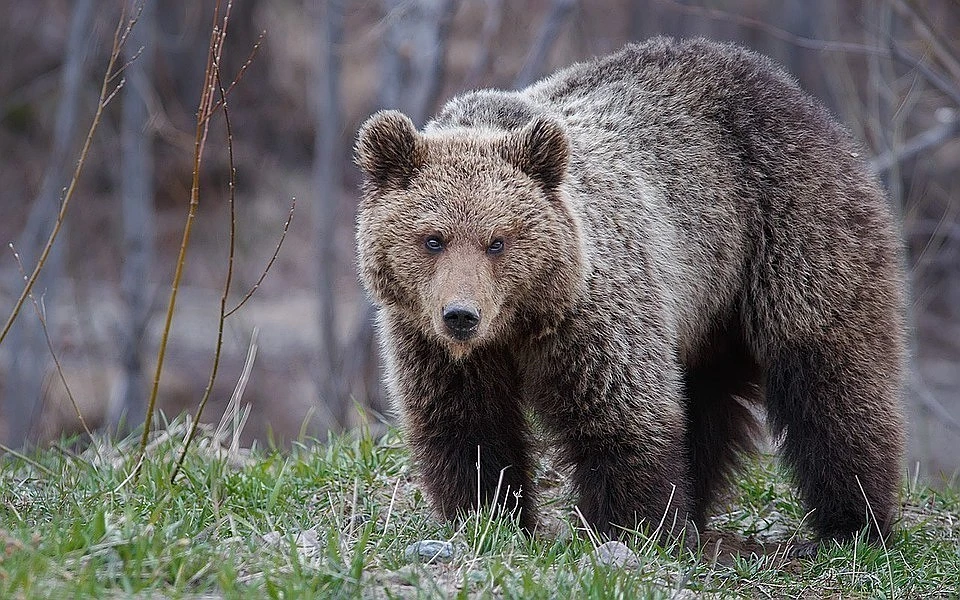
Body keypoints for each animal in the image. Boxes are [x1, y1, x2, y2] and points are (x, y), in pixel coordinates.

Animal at [354, 38, 908, 552]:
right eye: (433, 238)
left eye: (498, 241)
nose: (461, 315)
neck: (519, 324)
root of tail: (787, 88)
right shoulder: (428, 341)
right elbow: (467, 427)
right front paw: (491, 519)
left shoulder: (593, 315)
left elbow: (622, 415)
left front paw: (636, 527)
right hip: (708, 307)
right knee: (707, 398)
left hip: (791, 233)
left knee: (830, 376)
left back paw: (853, 523)